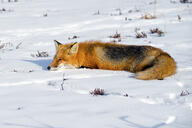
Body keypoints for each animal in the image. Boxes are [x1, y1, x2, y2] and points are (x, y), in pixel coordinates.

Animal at [47, 40, 176, 80]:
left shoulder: (93, 66)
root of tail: (163, 52)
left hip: (137, 67)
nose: (48, 67)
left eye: (60, 59)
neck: (83, 55)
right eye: (54, 58)